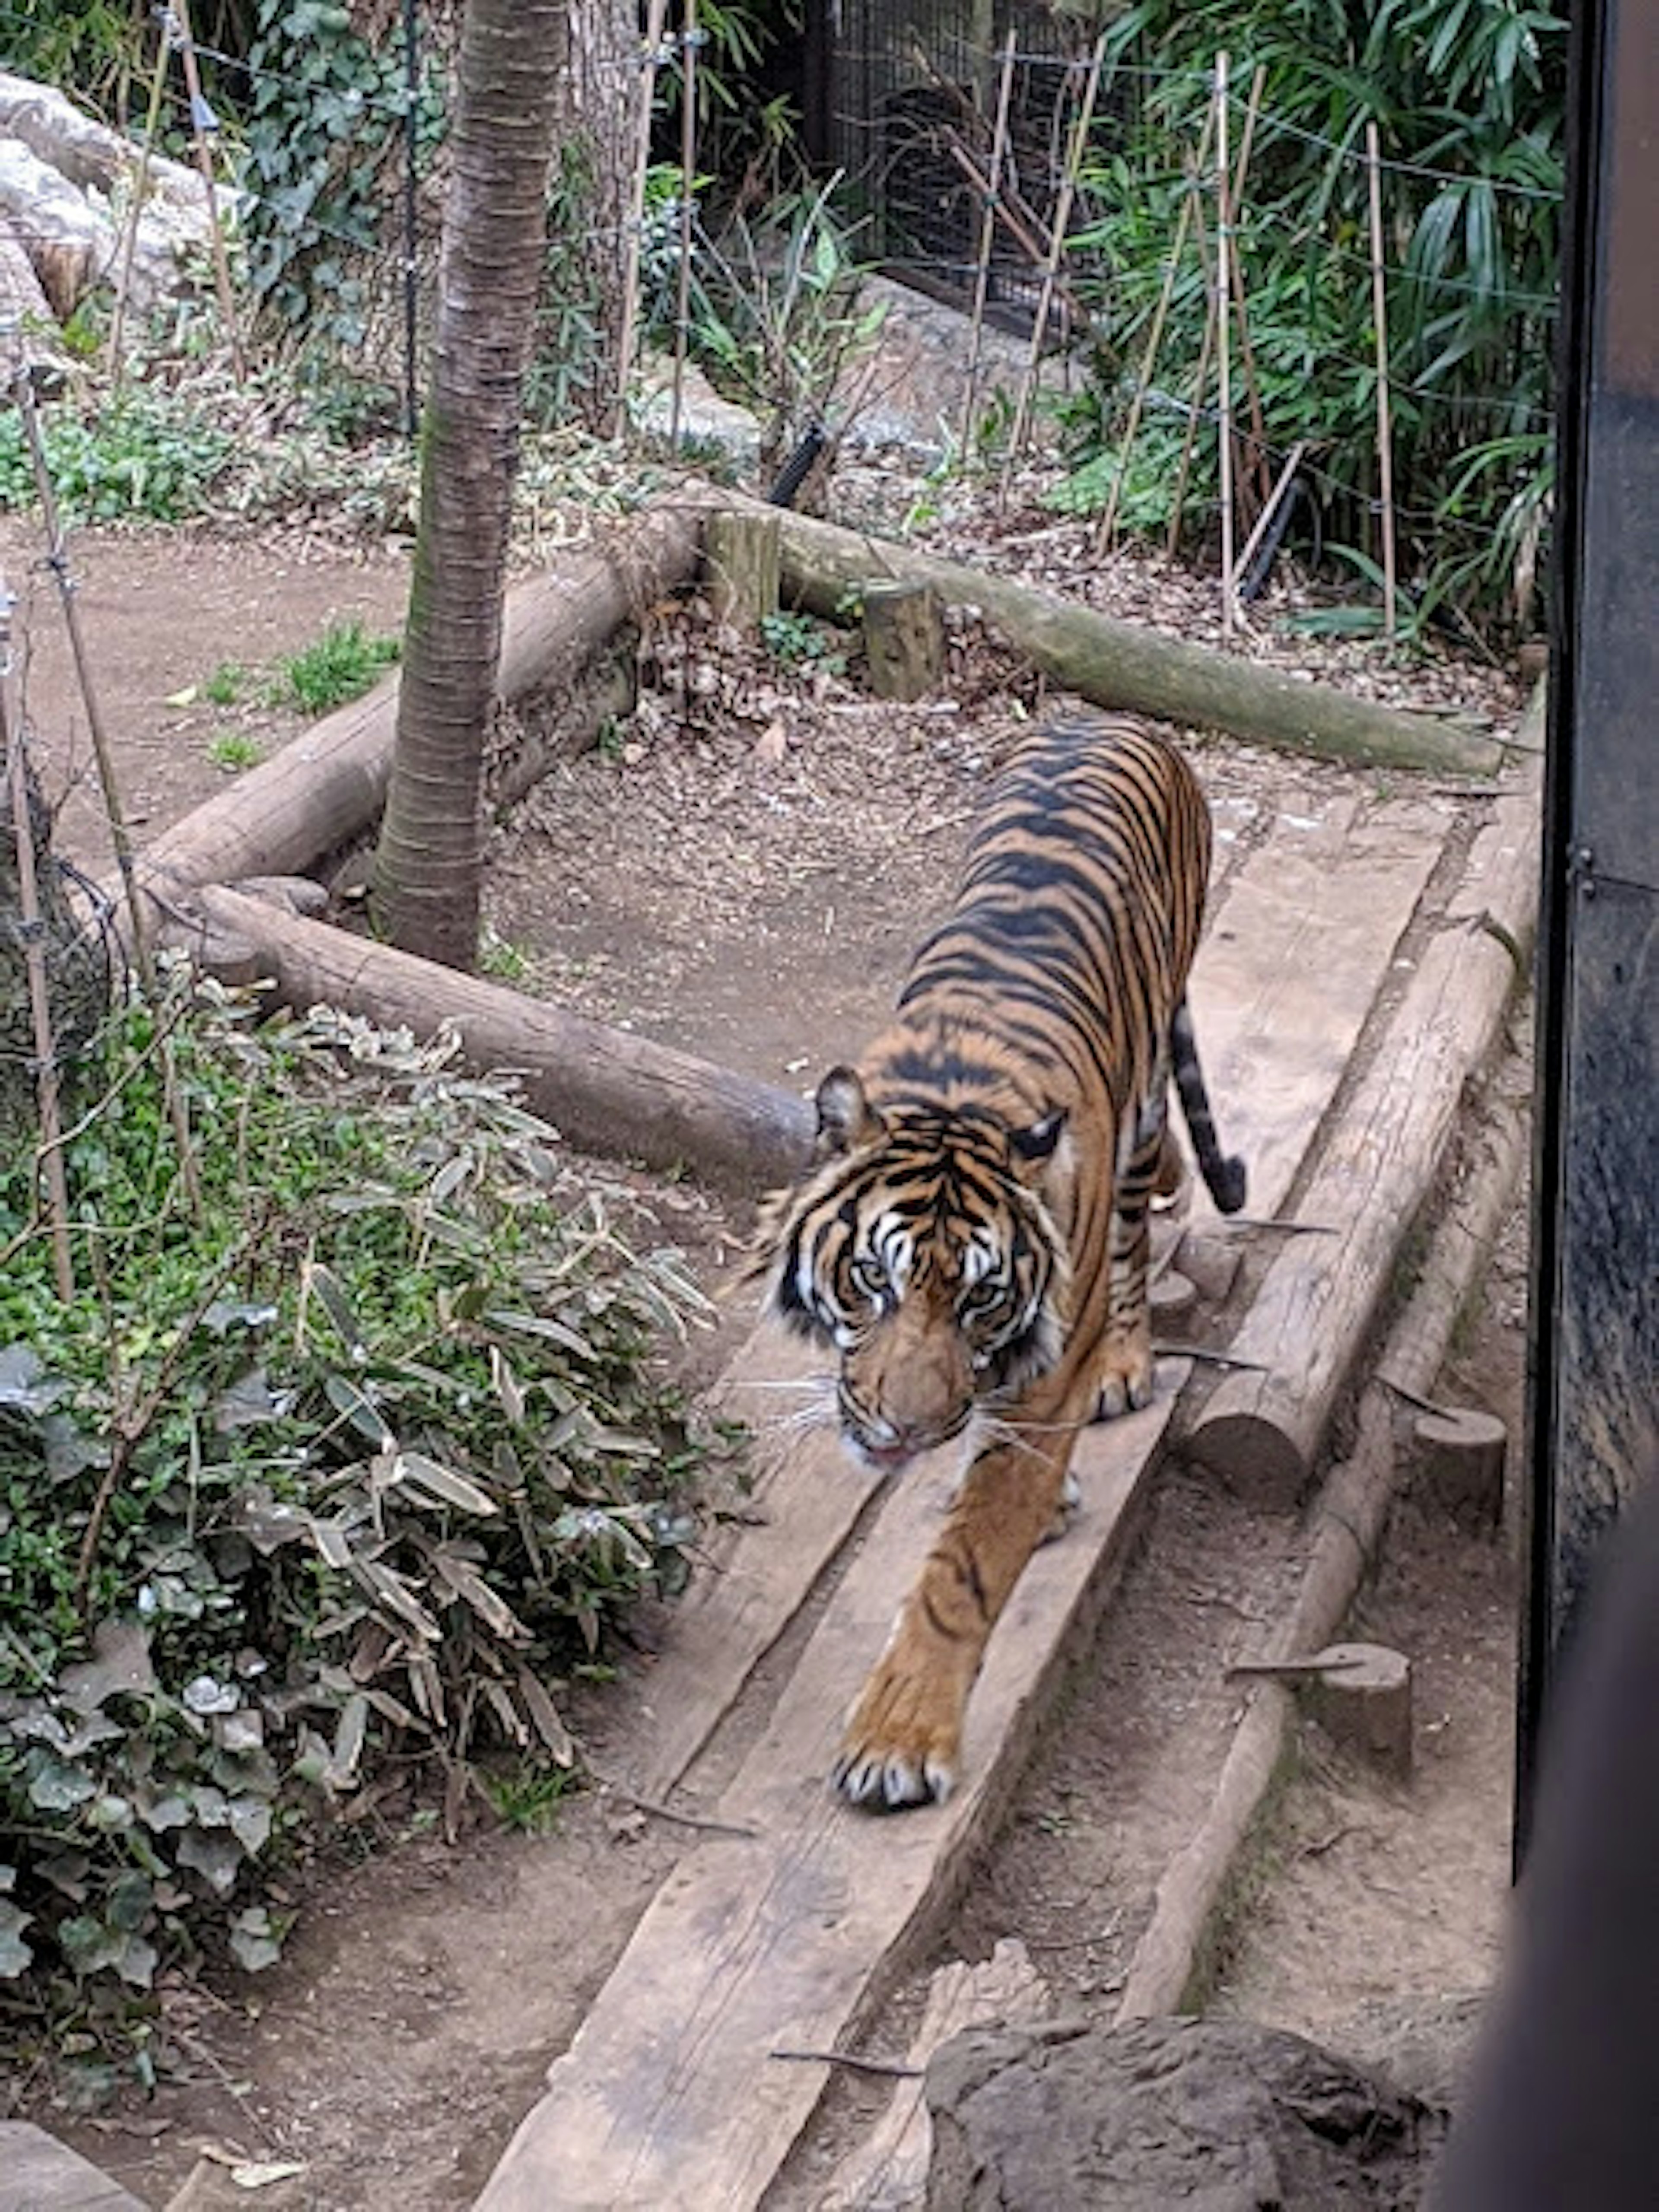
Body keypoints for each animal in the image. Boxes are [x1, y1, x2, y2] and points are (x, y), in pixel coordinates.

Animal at [761, 716, 1239, 1805]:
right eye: (870, 1279)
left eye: (982, 1300)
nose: (900, 1432)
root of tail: (1117, 720)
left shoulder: (1044, 1363)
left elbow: (966, 1565)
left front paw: (899, 1740)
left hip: (1141, 1109)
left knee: (1140, 1224)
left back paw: (1126, 1361)